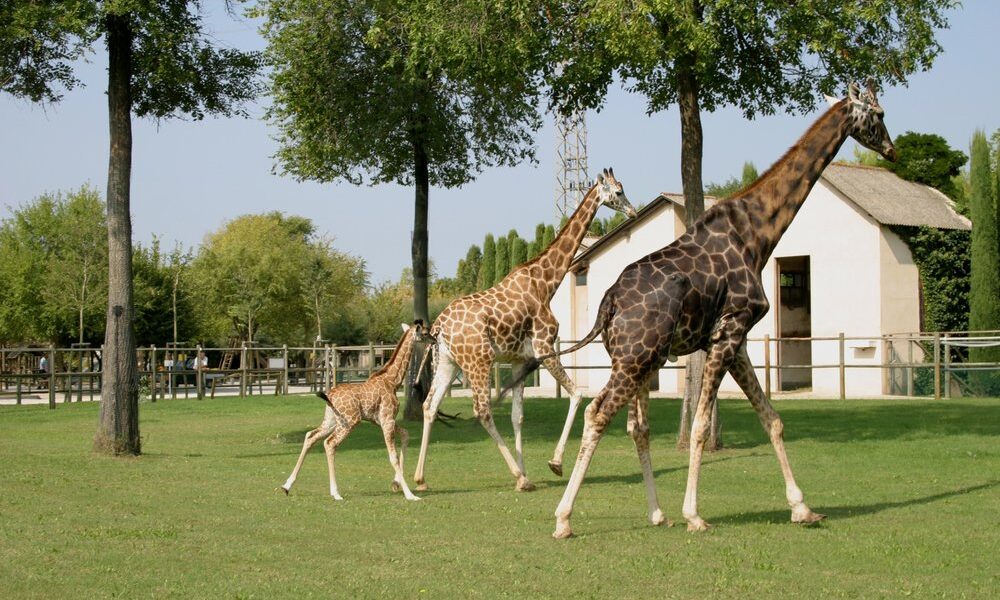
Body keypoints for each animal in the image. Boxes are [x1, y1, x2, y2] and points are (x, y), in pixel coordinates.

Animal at [280, 322, 428, 500]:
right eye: (426, 332)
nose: (434, 338)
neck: (393, 381)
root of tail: (329, 396)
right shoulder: (387, 419)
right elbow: (393, 457)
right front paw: (410, 495)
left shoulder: (382, 421)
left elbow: (405, 435)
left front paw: (396, 483)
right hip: (349, 421)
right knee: (329, 443)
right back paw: (335, 493)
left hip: (331, 421)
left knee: (311, 436)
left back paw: (287, 485)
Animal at [412, 169, 632, 492]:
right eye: (618, 191)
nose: (632, 211)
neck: (546, 283)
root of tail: (440, 327)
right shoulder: (544, 347)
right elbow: (577, 394)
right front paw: (553, 464)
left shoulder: (521, 360)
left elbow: (518, 416)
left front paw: (529, 470)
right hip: (478, 361)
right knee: (482, 410)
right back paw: (517, 476)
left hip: (449, 363)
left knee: (430, 405)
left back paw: (420, 478)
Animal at [512, 82, 896, 536]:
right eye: (879, 114)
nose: (892, 150)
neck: (758, 235)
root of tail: (609, 302)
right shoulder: (729, 332)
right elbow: (699, 426)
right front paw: (694, 514)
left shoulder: (736, 339)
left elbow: (772, 418)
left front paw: (802, 508)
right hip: (635, 358)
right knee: (598, 412)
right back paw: (564, 518)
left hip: (636, 360)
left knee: (626, 422)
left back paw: (647, 512)